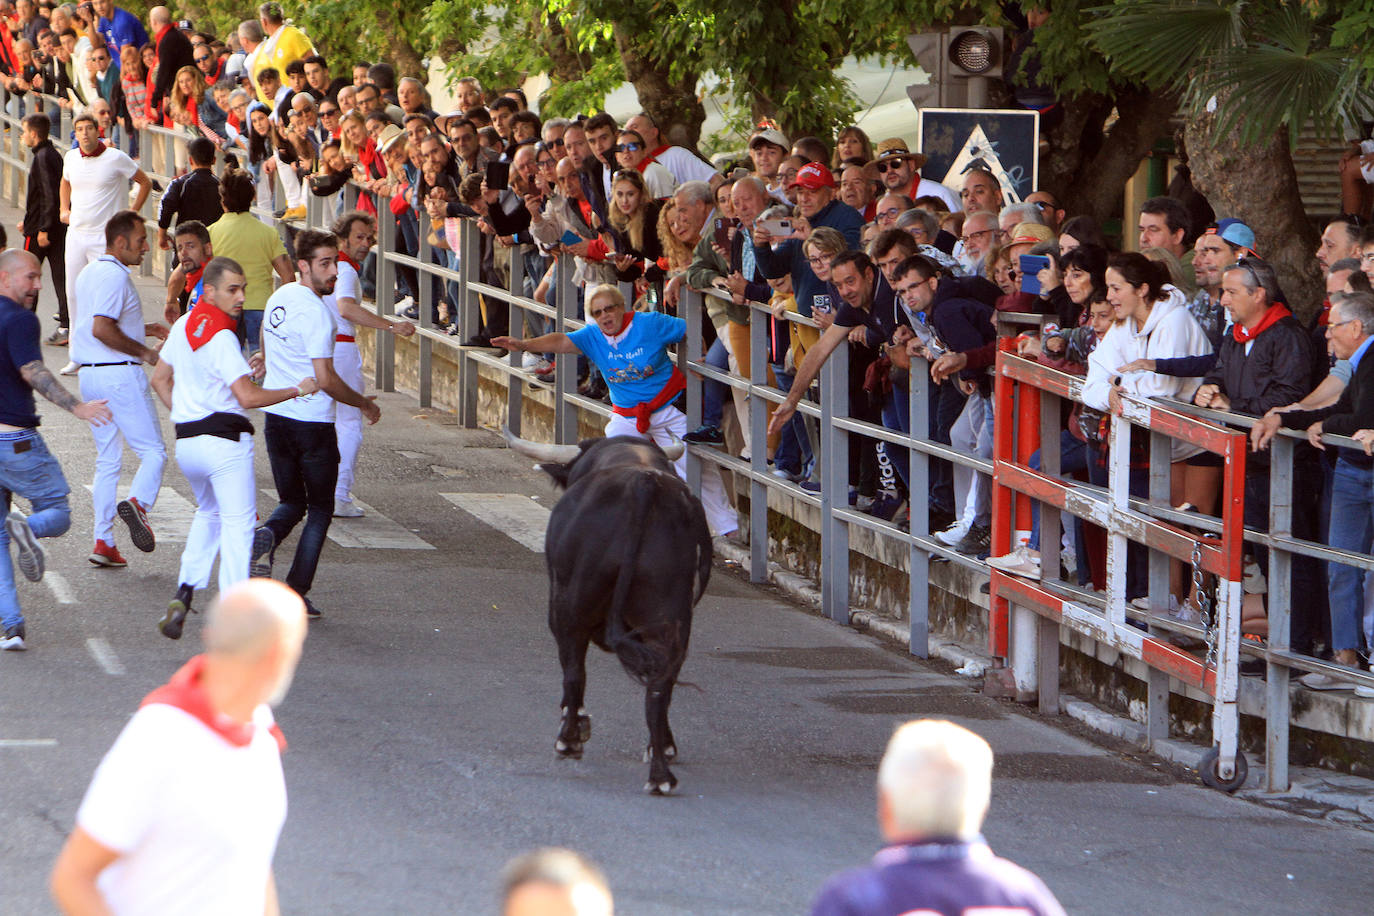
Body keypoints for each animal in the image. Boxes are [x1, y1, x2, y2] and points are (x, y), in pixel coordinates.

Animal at [502, 431, 708, 796]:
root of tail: (645, 484)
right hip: (670, 617)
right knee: (661, 685)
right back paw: (660, 770)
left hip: (571, 604)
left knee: (574, 670)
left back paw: (569, 739)